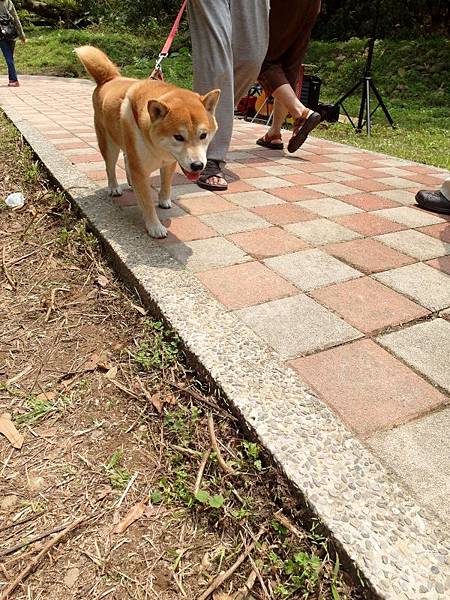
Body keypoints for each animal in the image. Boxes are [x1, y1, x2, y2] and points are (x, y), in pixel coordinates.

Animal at [75, 45, 220, 238]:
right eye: (179, 137)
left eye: (203, 135)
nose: (197, 166)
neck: (157, 148)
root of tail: (109, 79)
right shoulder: (140, 170)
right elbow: (147, 203)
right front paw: (155, 227)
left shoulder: (169, 162)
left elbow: (166, 184)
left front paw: (164, 200)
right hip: (109, 144)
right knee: (110, 167)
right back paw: (114, 188)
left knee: (126, 159)